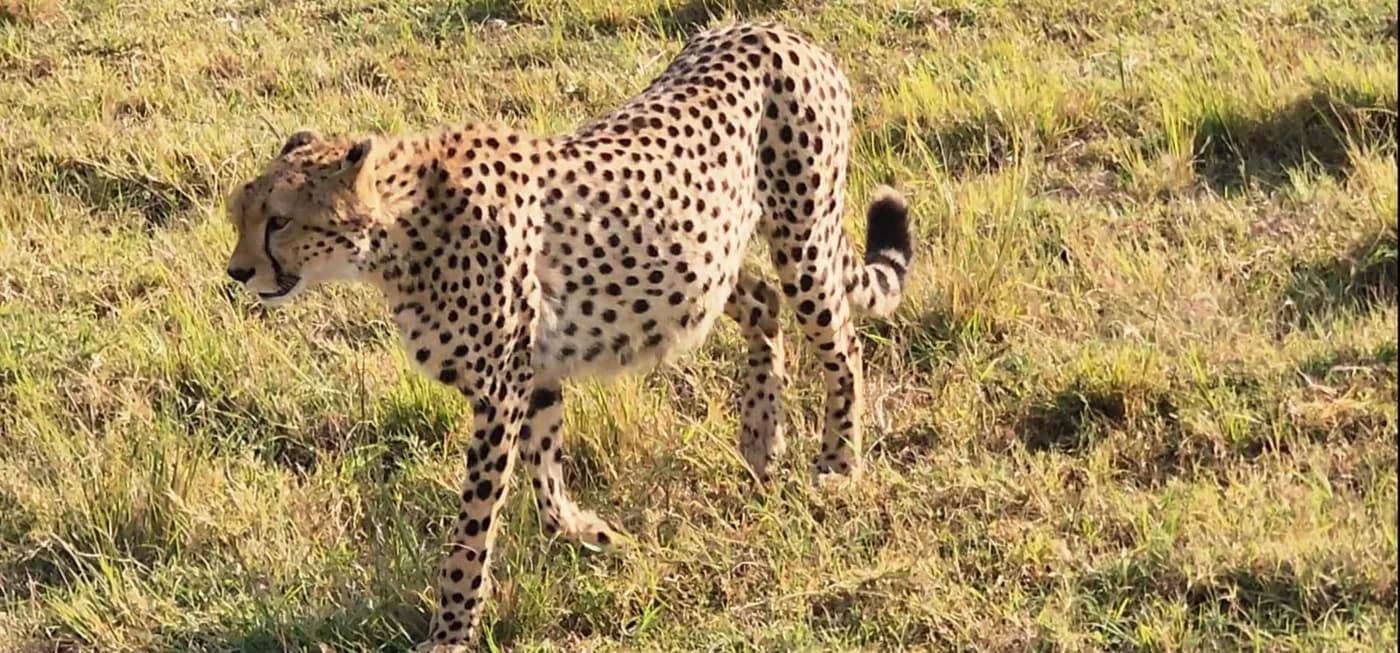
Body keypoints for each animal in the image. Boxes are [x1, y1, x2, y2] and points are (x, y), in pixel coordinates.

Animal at [223, 20, 912, 651]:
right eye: (240, 215)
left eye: (279, 221)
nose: (238, 272)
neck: (400, 232)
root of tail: (780, 30)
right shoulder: (536, 372)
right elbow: (546, 480)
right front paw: (594, 532)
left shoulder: (500, 387)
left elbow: (474, 524)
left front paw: (450, 631)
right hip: (705, 260)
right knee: (763, 304)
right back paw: (761, 441)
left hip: (803, 239)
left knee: (843, 342)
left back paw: (836, 464)